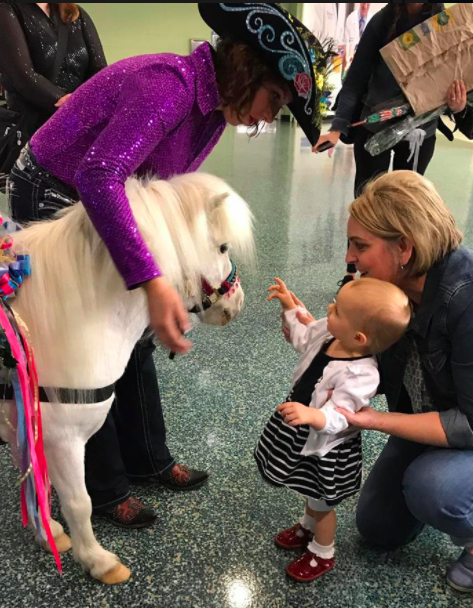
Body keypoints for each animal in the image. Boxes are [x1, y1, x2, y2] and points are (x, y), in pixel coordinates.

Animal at [0, 172, 254, 584]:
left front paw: (47, 532)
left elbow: (35, 480)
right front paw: (98, 561)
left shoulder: (27, 426)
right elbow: (78, 502)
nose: (238, 303)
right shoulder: (61, 437)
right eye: (222, 247)